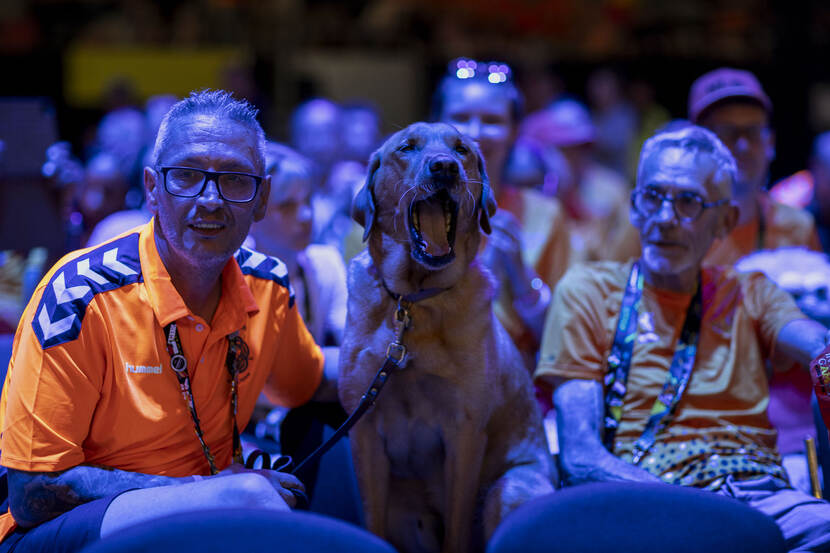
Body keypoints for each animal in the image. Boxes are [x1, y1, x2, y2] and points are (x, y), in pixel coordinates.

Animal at [338, 122, 560, 552]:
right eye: (406, 148)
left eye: (462, 150)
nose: (444, 167)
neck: (414, 302)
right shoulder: (366, 430)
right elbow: (371, 522)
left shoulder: (464, 431)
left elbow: (456, 528)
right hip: (406, 510)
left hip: (508, 490)